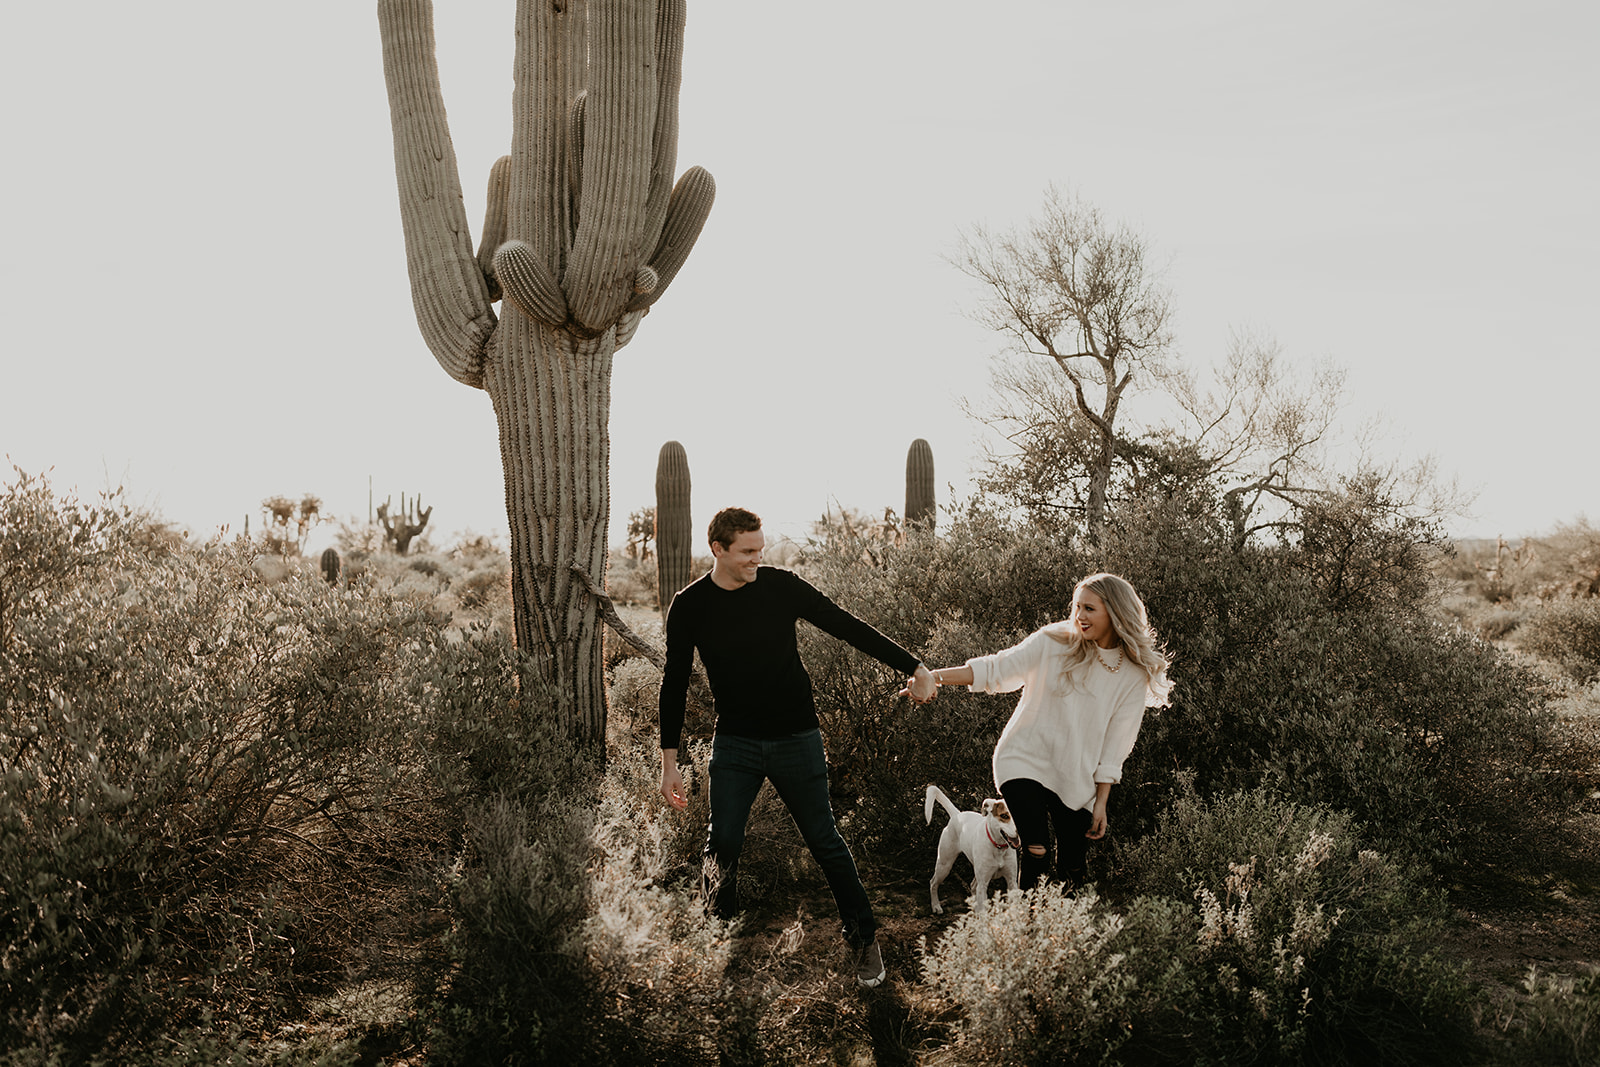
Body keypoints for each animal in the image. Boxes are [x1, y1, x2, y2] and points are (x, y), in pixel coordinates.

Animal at [928, 783, 1024, 921]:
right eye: (1004, 816)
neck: (998, 847)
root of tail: (957, 815)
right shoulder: (983, 884)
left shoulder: (1011, 882)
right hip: (944, 865)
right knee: (933, 883)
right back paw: (936, 906)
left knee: (973, 886)